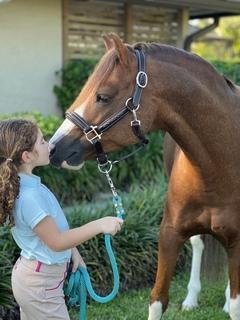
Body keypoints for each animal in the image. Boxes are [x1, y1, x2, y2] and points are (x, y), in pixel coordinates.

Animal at [49, 33, 240, 318]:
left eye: (103, 97)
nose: (53, 148)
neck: (223, 162)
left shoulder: (238, 241)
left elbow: (238, 304)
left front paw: (230, 302)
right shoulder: (169, 234)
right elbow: (157, 299)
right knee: (198, 244)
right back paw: (192, 298)